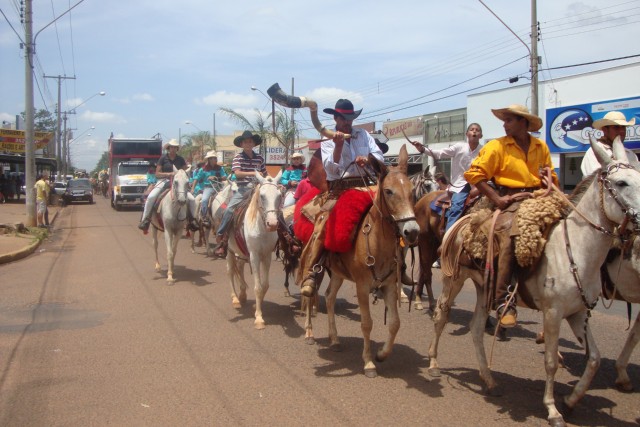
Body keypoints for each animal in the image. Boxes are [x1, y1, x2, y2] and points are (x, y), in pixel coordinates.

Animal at [226, 171, 284, 332]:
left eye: (279, 195)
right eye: (262, 196)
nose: (272, 224)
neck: (261, 228)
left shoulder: (267, 256)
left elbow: (265, 285)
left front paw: (256, 309)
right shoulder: (254, 256)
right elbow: (258, 287)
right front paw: (259, 319)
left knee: (239, 267)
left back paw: (242, 294)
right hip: (229, 250)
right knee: (231, 270)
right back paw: (235, 298)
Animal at [304, 146, 420, 378]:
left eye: (412, 190)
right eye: (388, 191)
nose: (411, 231)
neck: (377, 242)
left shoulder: (389, 286)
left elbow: (395, 323)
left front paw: (382, 354)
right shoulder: (362, 286)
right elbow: (367, 323)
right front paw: (368, 363)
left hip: (337, 274)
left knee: (329, 297)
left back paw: (334, 339)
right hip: (315, 266)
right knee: (309, 294)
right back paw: (310, 332)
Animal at [428, 138, 640, 427]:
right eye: (621, 183)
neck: (575, 248)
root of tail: (464, 220)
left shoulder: (578, 312)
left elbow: (595, 359)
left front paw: (571, 400)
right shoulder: (553, 313)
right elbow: (551, 362)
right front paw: (553, 410)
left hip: (485, 287)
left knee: (476, 328)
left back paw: (489, 380)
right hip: (454, 279)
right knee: (441, 316)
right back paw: (433, 363)